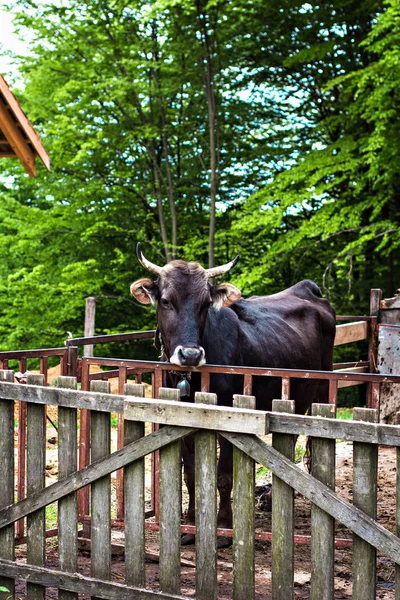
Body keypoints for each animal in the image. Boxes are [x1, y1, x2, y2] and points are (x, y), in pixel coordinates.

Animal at [130, 243, 334, 544]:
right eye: (165, 301)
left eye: (205, 304)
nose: (190, 354)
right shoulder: (179, 422)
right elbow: (190, 475)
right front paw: (189, 526)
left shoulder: (230, 420)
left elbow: (224, 476)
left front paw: (224, 528)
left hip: (315, 393)